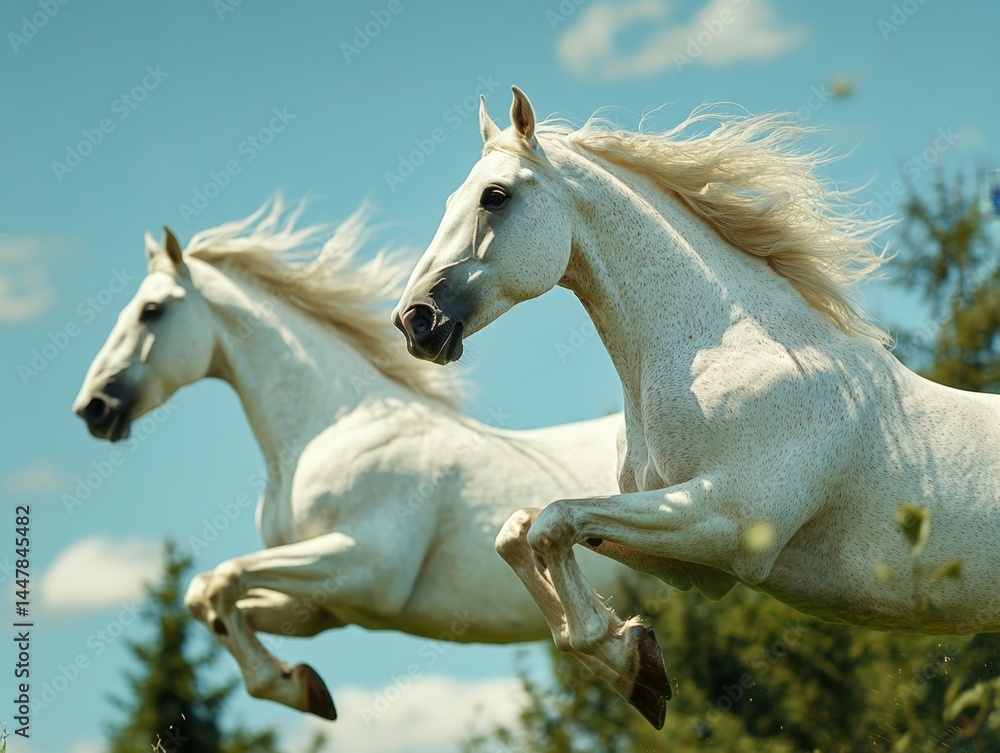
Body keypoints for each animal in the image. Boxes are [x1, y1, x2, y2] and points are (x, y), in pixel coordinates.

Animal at [73, 198, 648, 723]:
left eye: (152, 311)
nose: (93, 408)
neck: (328, 428)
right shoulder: (322, 607)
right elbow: (210, 598)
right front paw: (300, 684)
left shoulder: (365, 569)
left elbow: (220, 581)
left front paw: (297, 689)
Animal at [392, 86, 1000, 728]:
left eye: (496, 196)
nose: (415, 322)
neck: (728, 352)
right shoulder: (697, 567)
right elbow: (520, 531)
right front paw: (637, 661)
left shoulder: (729, 524)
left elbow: (552, 523)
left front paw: (637, 666)